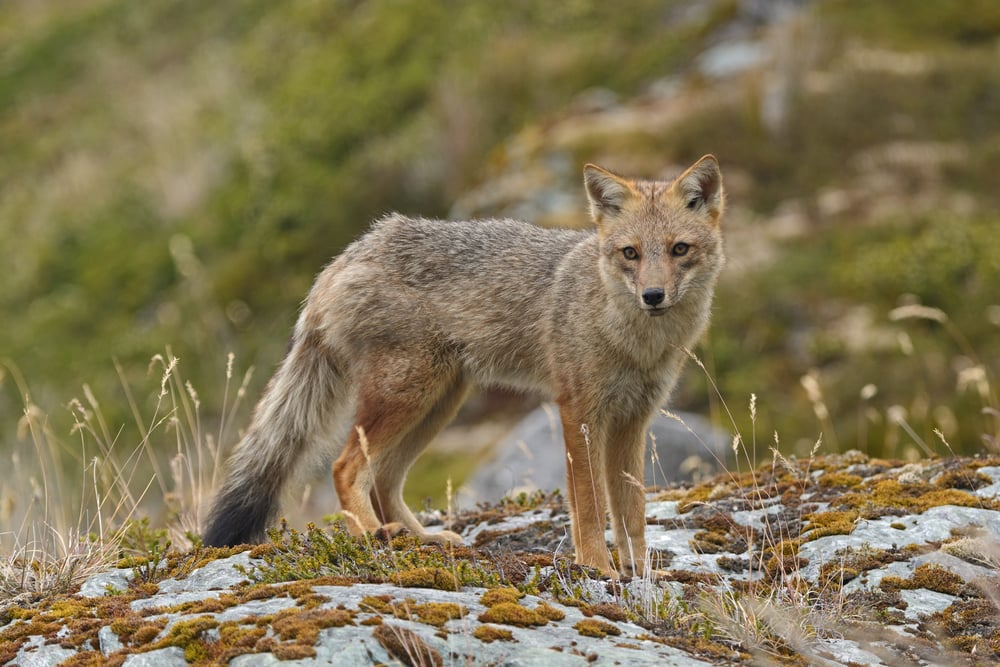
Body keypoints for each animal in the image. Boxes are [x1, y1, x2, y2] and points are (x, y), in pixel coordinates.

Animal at [203, 155, 725, 577]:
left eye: (679, 249)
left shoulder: (633, 421)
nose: (653, 296)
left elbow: (632, 511)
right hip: (407, 396)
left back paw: (421, 538)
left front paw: (642, 572)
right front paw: (598, 568)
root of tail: (352, 251)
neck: (635, 341)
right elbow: (591, 508)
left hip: (437, 404)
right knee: (345, 468)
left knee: (384, 481)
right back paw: (372, 536)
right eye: (630, 253)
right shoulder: (579, 414)